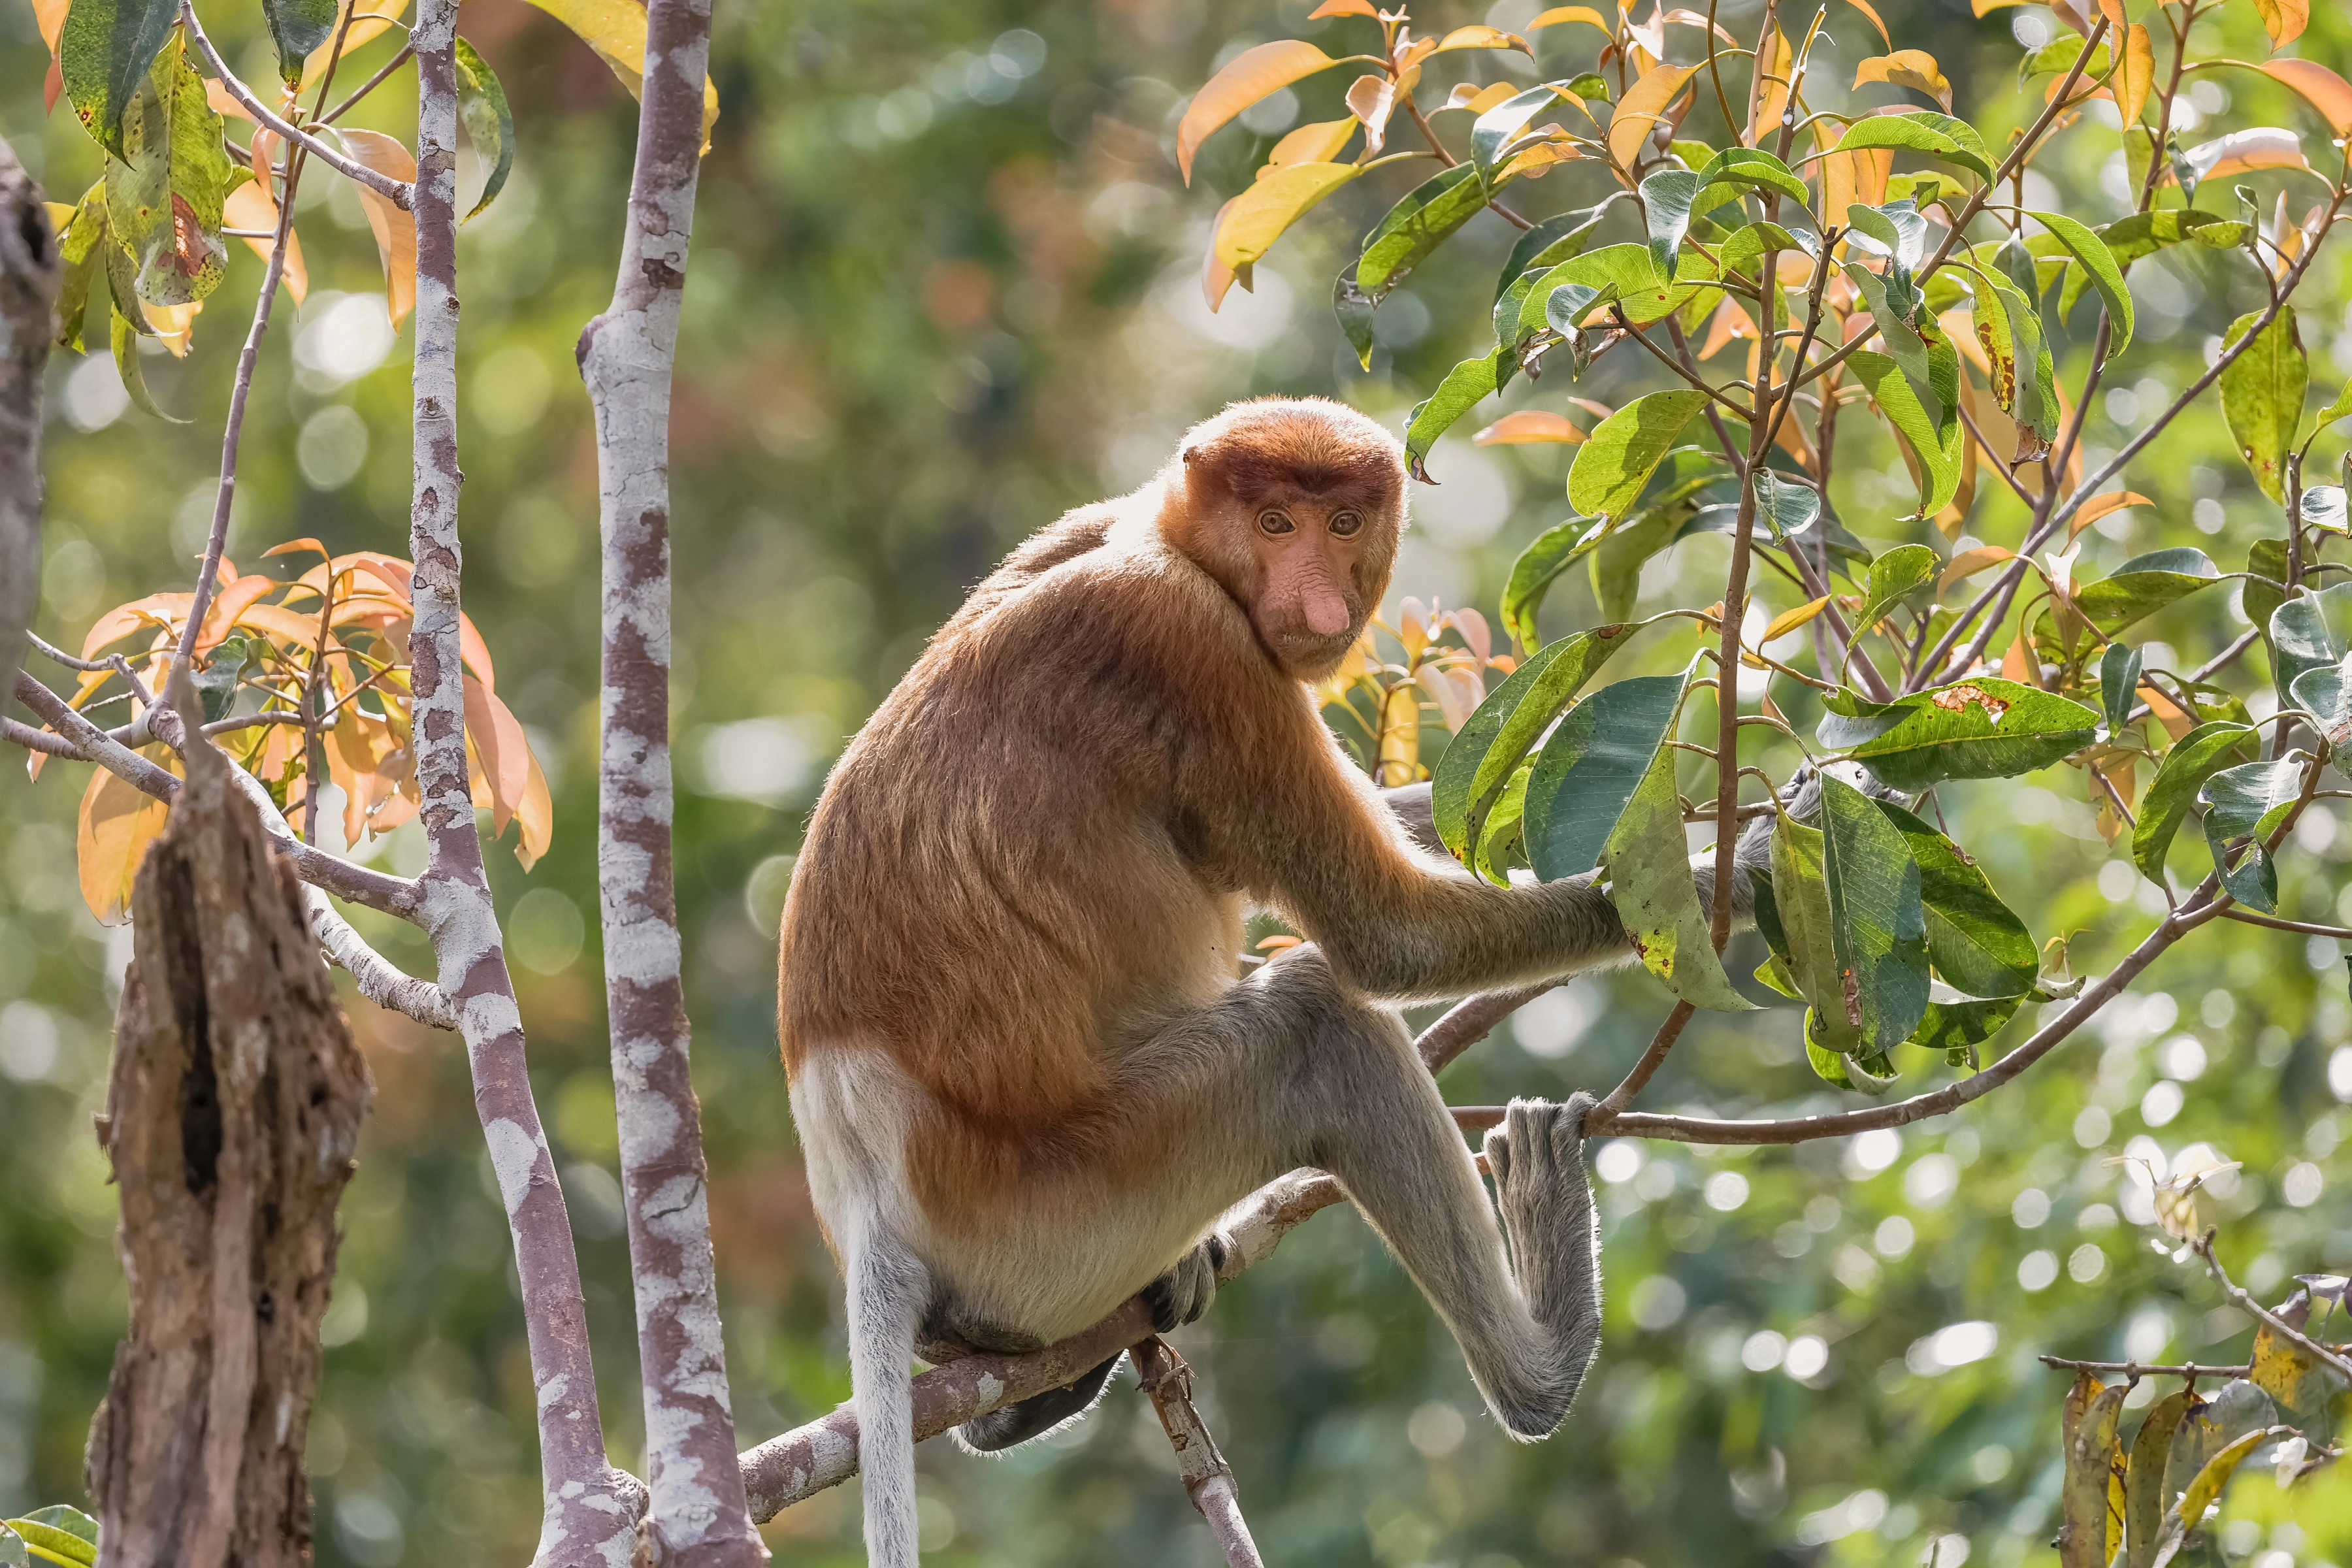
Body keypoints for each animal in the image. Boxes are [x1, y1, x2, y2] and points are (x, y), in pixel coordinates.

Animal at [777, 396, 1765, 1565]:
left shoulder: (1078, 531)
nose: (1319, 599)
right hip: (1058, 1209)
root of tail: (868, 1206)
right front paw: (1745, 869)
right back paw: (1541, 1367)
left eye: (1344, 523)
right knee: (1316, 1022)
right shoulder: (1190, 647)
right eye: (1276, 522)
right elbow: (1385, 937)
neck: (1169, 541)